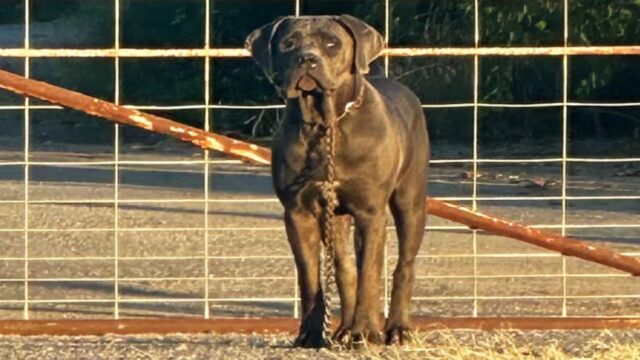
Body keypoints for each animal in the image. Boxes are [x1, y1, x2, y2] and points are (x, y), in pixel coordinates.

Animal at [245, 15, 430, 348]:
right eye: (288, 43)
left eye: (332, 43)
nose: (308, 59)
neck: (326, 123)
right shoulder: (298, 213)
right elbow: (309, 276)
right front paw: (311, 333)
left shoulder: (371, 212)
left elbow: (370, 272)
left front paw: (364, 332)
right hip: (335, 218)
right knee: (345, 268)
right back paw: (343, 328)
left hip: (410, 201)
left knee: (403, 265)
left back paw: (397, 328)